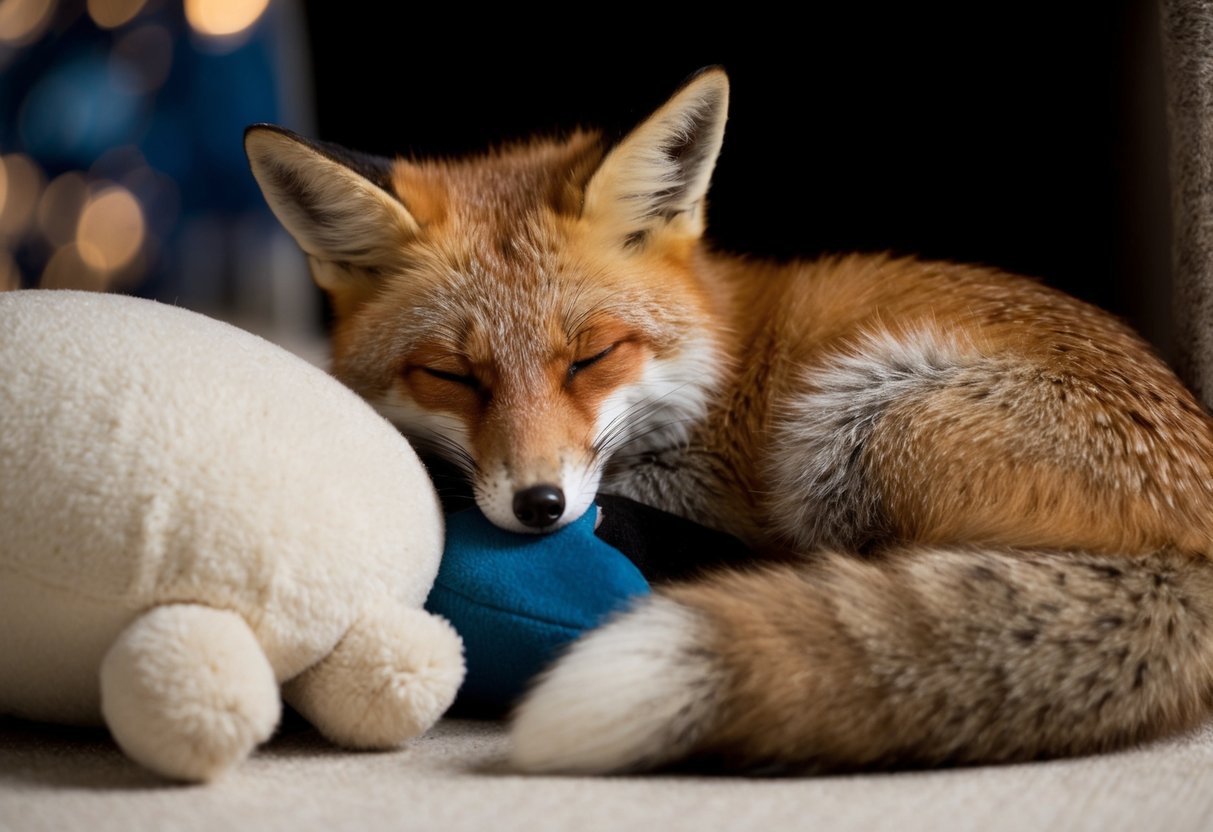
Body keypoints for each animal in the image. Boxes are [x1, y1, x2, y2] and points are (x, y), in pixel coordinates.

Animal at [244, 67, 1213, 775]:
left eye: (592, 356)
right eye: (452, 375)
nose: (539, 507)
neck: (711, 378)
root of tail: (1189, 544)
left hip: (853, 418)